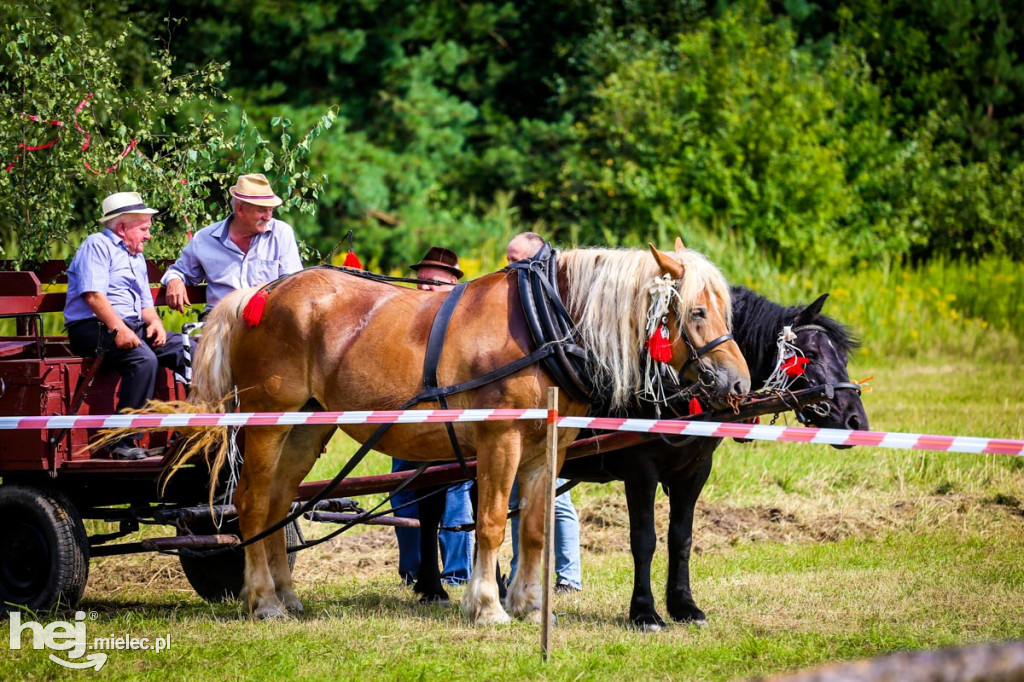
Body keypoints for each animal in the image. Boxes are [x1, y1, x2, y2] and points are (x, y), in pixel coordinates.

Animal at [180, 238, 749, 622]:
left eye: (726, 308)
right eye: (697, 311)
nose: (738, 382)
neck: (544, 324)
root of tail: (258, 294)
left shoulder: (546, 445)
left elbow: (535, 527)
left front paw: (529, 605)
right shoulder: (501, 440)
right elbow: (494, 522)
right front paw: (488, 605)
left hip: (304, 427)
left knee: (280, 503)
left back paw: (287, 595)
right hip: (266, 421)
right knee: (253, 504)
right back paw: (263, 599)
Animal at [403, 280, 868, 622]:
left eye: (841, 354)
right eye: (809, 355)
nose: (856, 422)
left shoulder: (694, 471)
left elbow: (681, 538)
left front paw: (684, 606)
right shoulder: (640, 469)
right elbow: (644, 539)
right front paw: (644, 612)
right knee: (432, 510)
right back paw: (437, 587)